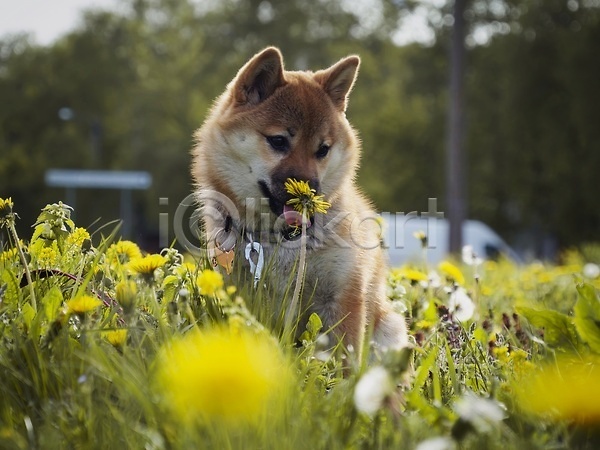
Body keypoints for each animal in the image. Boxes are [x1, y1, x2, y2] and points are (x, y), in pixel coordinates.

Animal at [192, 47, 408, 356]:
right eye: (279, 141)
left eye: (323, 149)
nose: (311, 193)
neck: (282, 240)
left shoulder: (343, 297)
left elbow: (345, 359)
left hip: (390, 327)